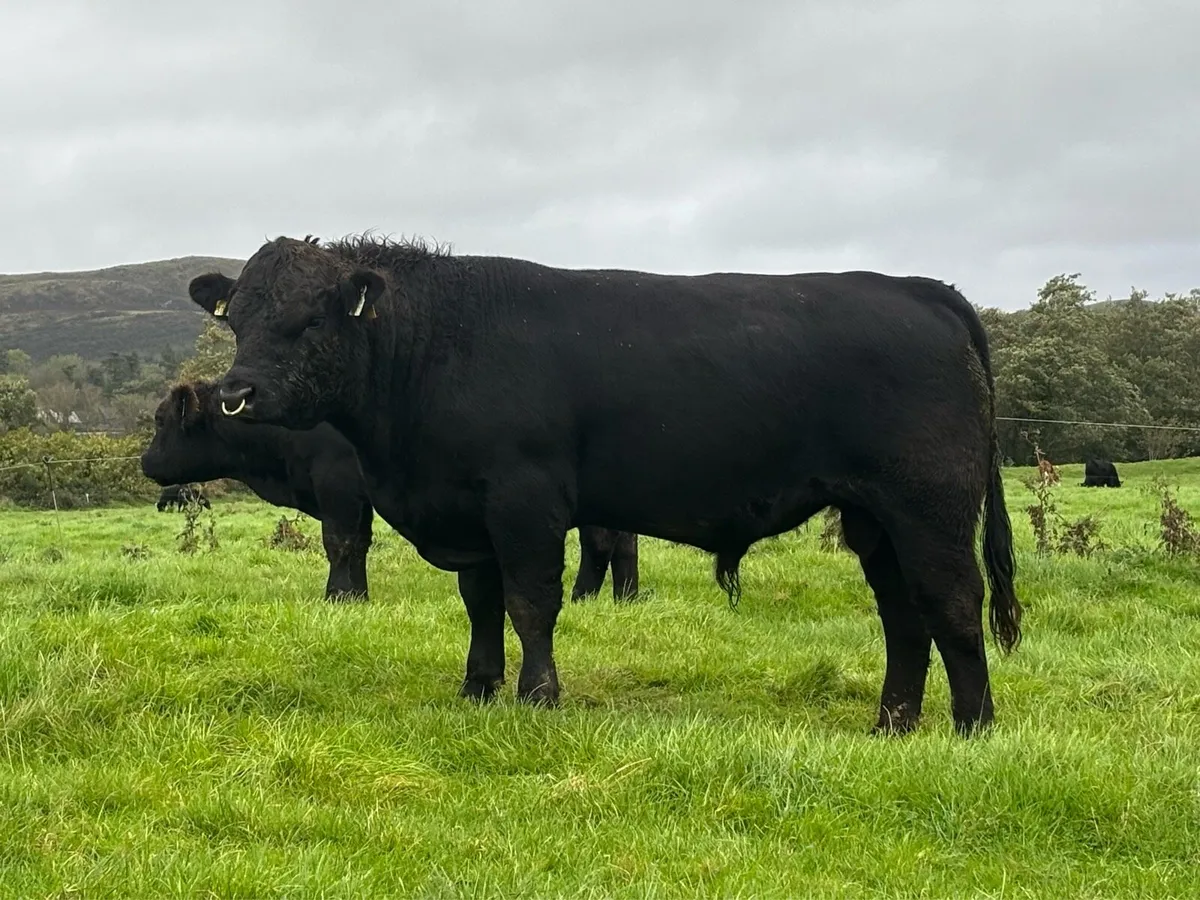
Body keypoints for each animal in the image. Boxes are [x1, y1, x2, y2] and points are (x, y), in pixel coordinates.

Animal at [141, 378, 639, 603]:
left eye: (162, 420)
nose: (146, 463)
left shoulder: (338, 486)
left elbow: (340, 543)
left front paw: (338, 596)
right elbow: (358, 545)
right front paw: (357, 594)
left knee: (602, 541)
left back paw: (584, 595)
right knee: (622, 542)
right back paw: (622, 596)